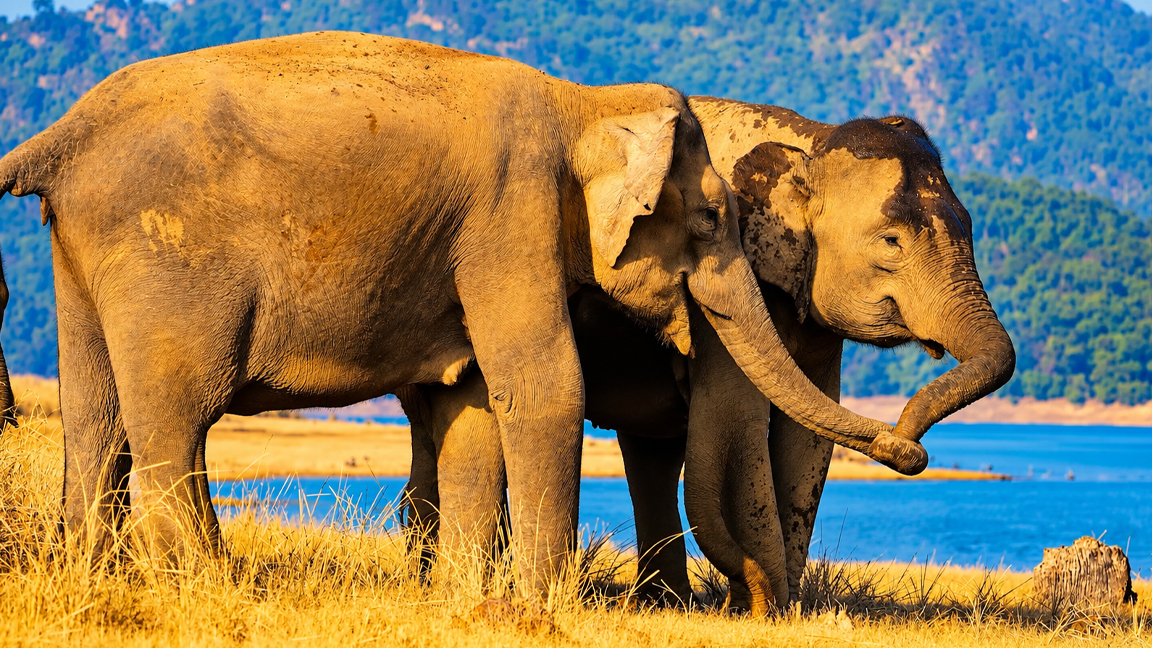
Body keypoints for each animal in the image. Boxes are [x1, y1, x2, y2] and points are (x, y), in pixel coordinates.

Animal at [0, 33, 903, 595]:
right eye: (713, 219)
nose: (910, 451)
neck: (582, 103)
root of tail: (59, 137)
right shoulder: (513, 215)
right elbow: (543, 385)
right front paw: (544, 604)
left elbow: (466, 397)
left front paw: (475, 595)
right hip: (166, 259)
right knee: (176, 416)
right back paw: (213, 583)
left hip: (80, 253)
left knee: (94, 412)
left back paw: (95, 576)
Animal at [398, 98, 1016, 612]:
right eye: (891, 241)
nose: (907, 445)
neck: (809, 139)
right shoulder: (724, 295)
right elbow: (738, 425)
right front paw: (764, 612)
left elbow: (805, 442)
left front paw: (782, 609)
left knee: (649, 452)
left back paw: (663, 602)